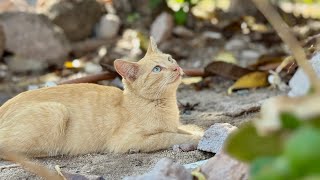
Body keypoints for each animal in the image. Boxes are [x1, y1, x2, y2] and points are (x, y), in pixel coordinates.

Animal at [0, 38, 201, 158]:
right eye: (157, 69)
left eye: (170, 59)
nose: (176, 68)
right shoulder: (127, 141)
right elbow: (168, 136)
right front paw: (194, 138)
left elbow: (184, 128)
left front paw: (197, 131)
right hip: (57, 111)